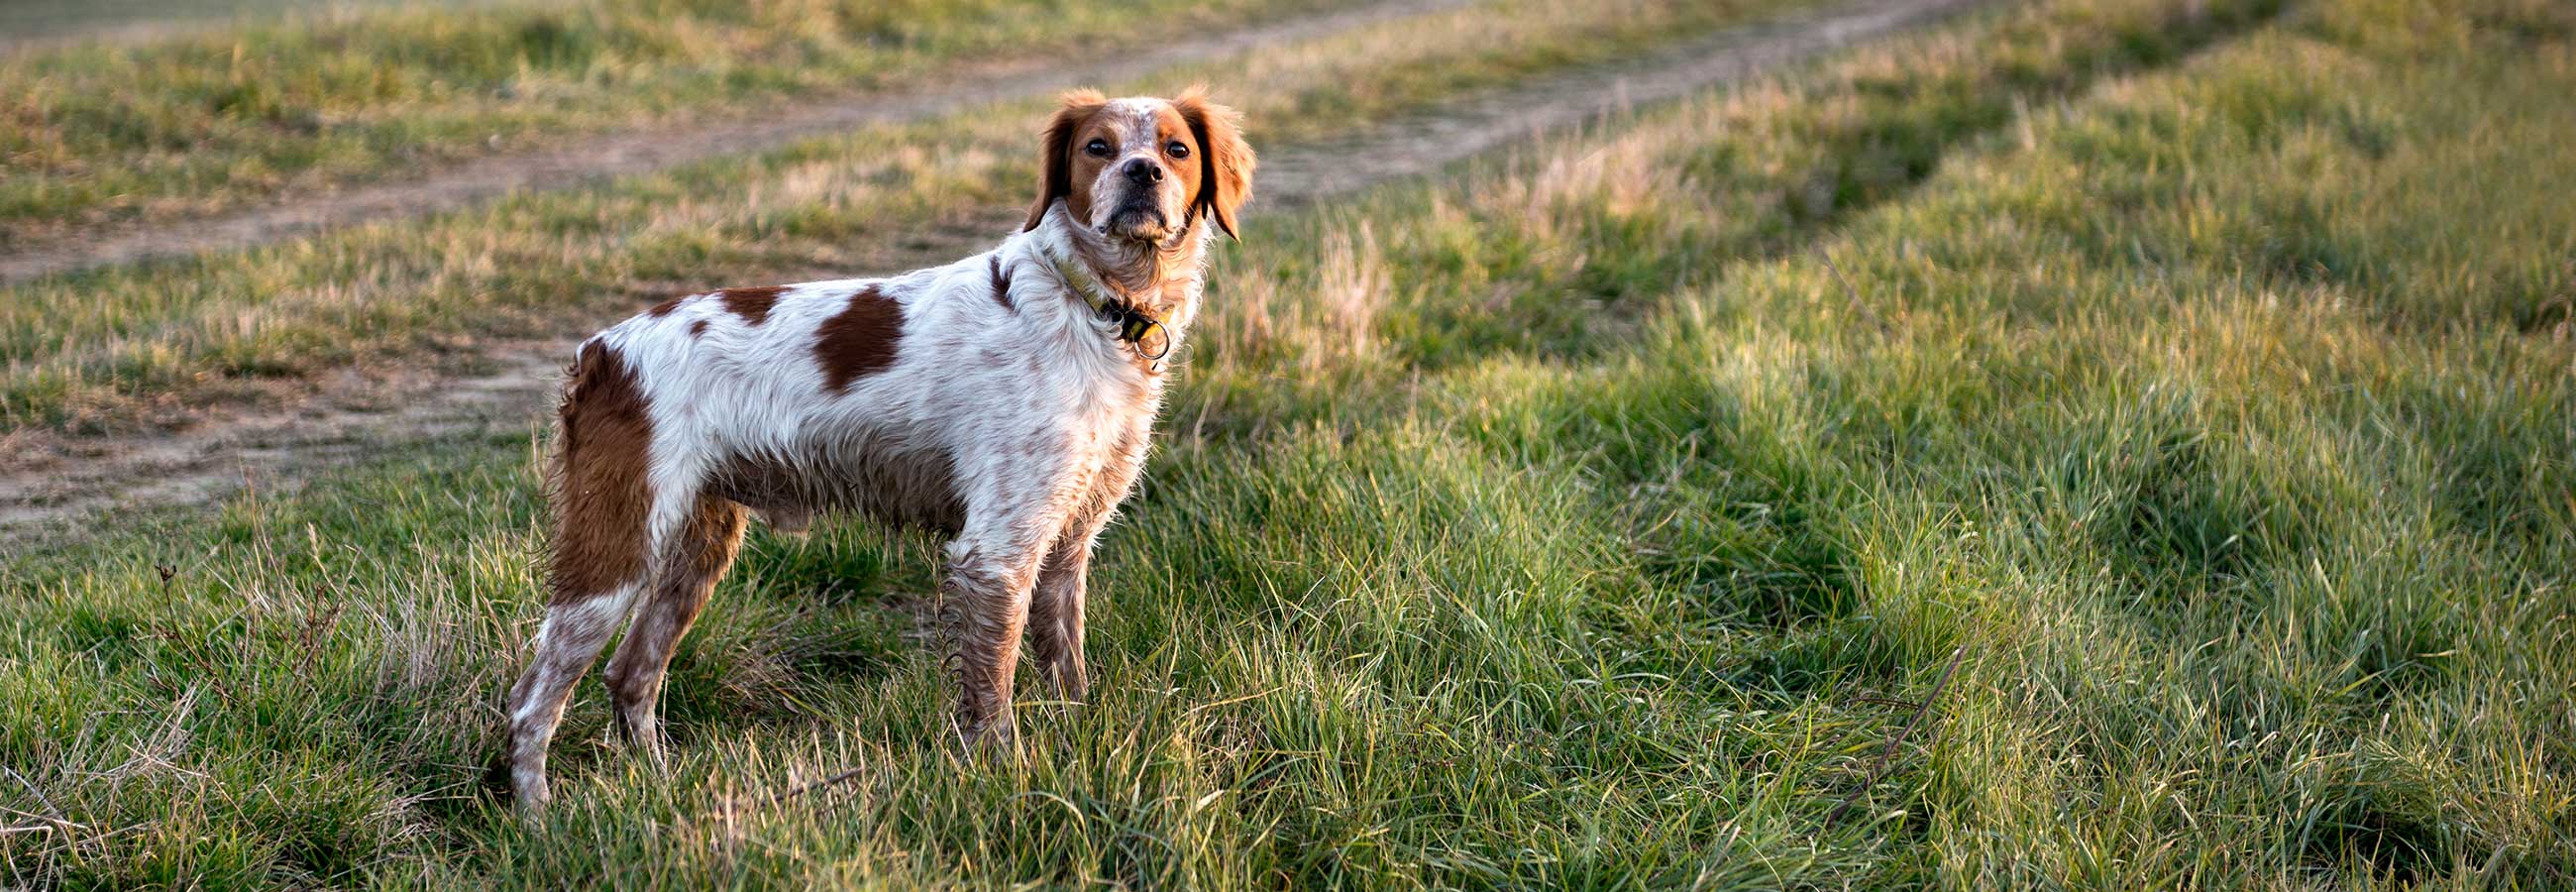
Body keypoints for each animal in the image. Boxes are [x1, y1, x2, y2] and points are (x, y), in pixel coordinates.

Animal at [496, 88, 1251, 809]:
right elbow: (992, 697)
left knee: (632, 674)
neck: (1094, 303)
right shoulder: (995, 552)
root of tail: (600, 351)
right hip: (617, 550)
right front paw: (1001, 781)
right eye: (1098, 147)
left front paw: (1073, 747)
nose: (1142, 172)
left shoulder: (1066, 544)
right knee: (533, 702)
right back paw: (539, 817)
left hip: (696, 550)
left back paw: (660, 788)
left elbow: (1067, 672)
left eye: (1176, 149)